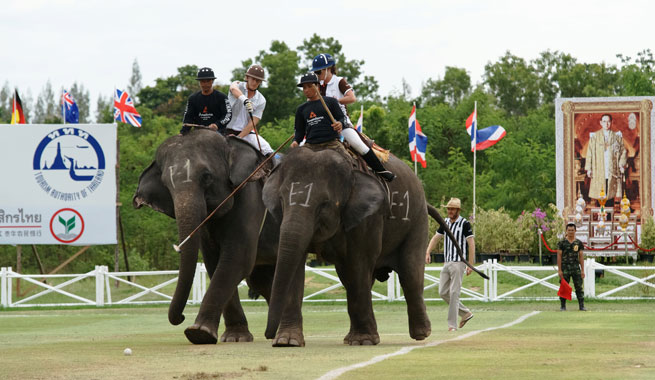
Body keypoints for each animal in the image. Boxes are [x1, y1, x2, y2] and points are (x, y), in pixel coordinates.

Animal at [133, 128, 280, 344]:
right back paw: (274, 333)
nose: (181, 317)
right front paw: (234, 337)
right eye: (166, 185)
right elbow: (214, 262)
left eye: (206, 177)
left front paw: (198, 332)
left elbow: (237, 259)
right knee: (262, 279)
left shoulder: (249, 198)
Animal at [262, 144, 472, 346]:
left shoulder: (369, 216)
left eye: (325, 204)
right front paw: (287, 341)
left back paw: (421, 334)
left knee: (410, 273)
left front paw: (363, 341)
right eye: (281, 201)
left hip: (417, 220)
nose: (267, 335)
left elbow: (359, 263)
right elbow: (297, 264)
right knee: (353, 277)